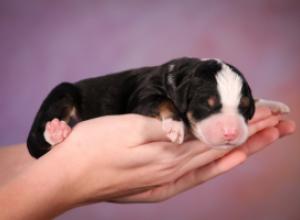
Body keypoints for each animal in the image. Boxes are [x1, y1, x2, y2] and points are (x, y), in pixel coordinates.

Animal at [27, 57, 290, 158]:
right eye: (207, 105)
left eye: (244, 108)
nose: (231, 133)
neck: (180, 76)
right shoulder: (143, 96)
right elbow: (165, 101)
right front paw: (175, 125)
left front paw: (275, 104)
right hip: (63, 92)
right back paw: (56, 131)